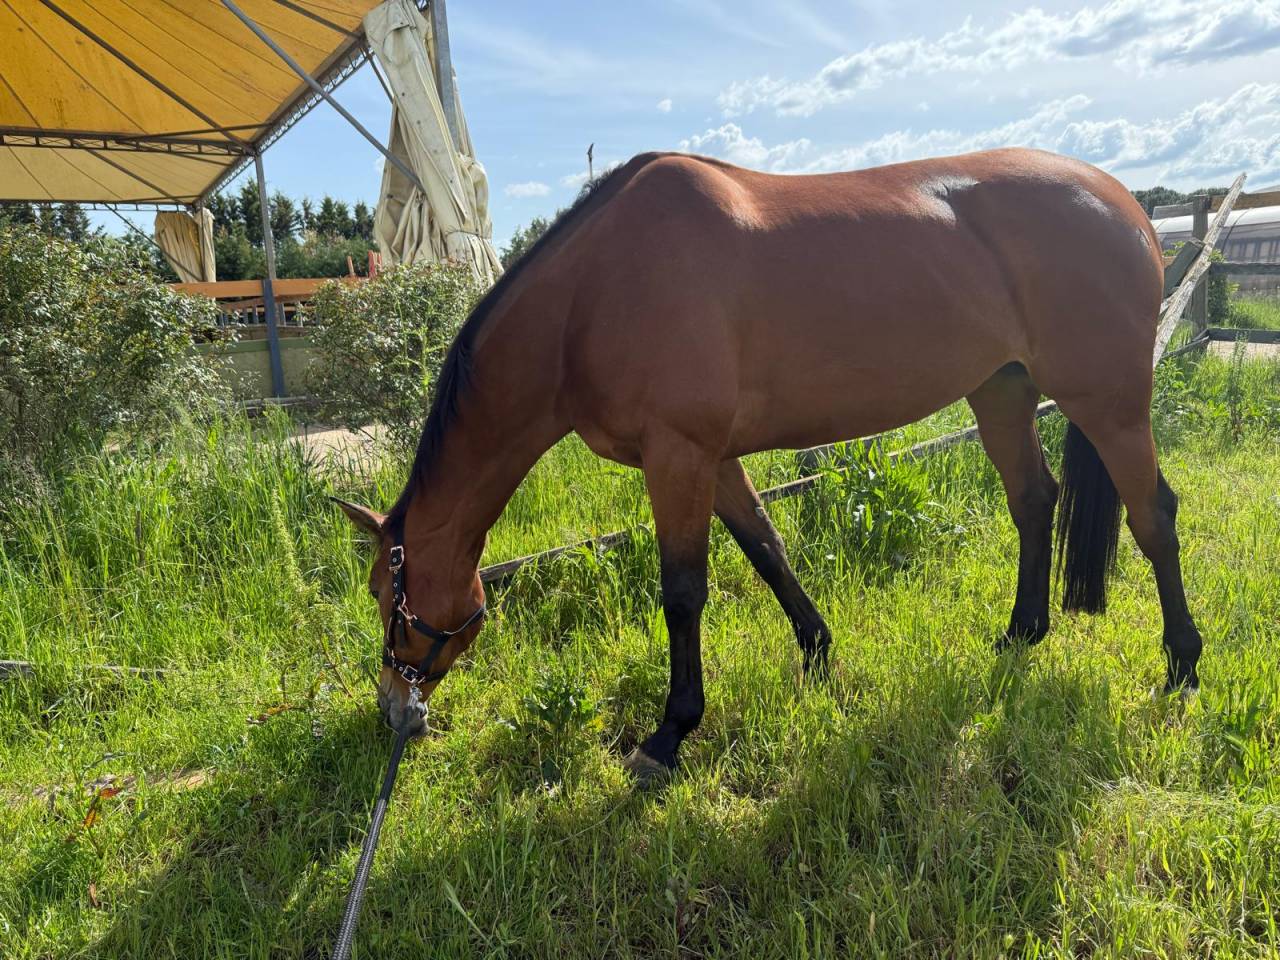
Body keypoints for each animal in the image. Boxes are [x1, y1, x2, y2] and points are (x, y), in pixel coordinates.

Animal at [334, 147, 1202, 783]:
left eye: (385, 594)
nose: (394, 712)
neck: (592, 294)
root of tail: (1126, 205)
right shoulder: (714, 460)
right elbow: (767, 549)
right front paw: (817, 654)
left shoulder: (677, 455)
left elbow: (684, 592)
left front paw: (669, 735)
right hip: (1003, 392)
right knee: (1034, 500)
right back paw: (1021, 635)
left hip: (1108, 402)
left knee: (1153, 516)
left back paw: (1183, 667)